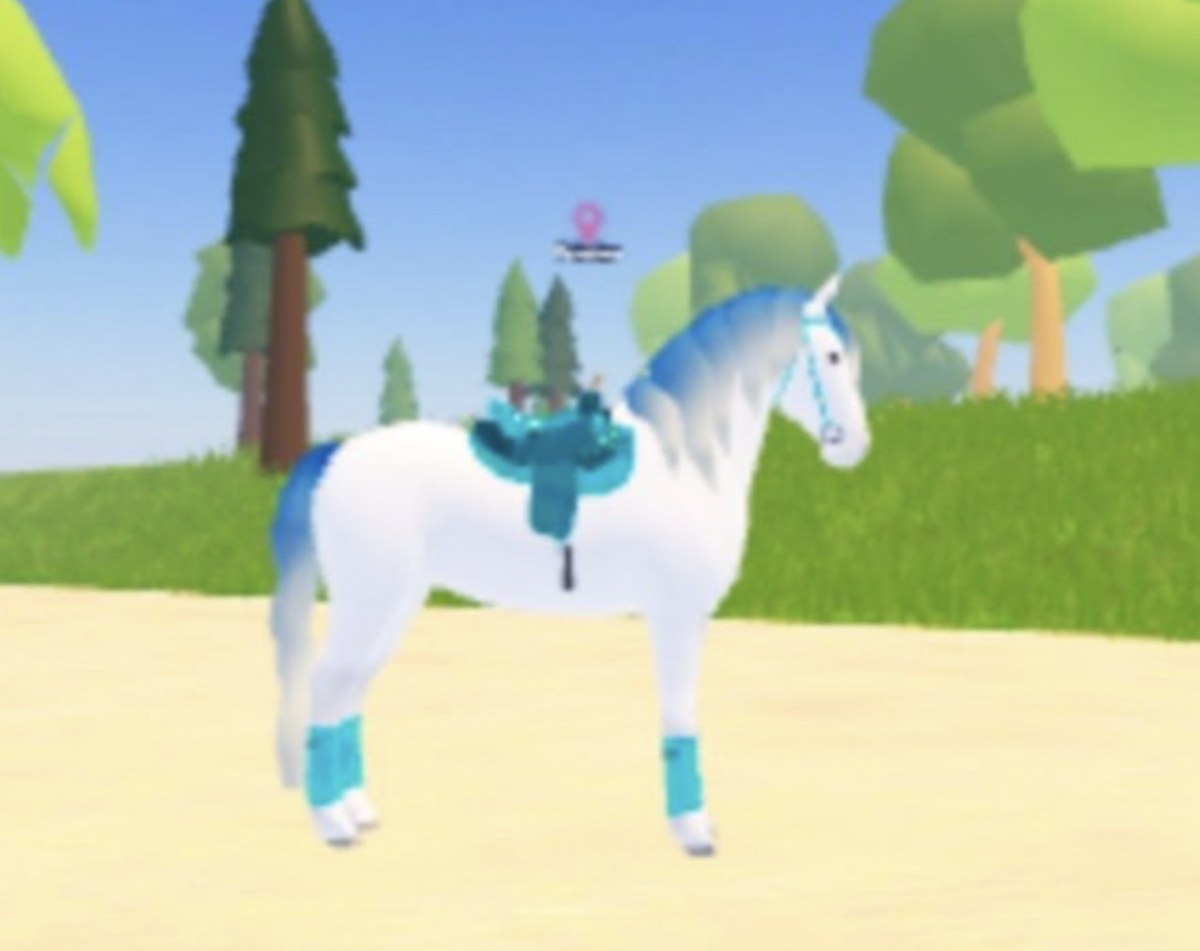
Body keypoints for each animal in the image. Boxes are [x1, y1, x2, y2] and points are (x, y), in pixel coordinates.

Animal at [268, 274, 871, 855]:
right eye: (832, 356)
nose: (854, 446)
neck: (685, 465)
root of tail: (337, 455)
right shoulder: (675, 615)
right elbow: (680, 713)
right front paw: (693, 831)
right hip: (370, 598)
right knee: (329, 681)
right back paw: (333, 824)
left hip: (397, 600)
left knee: (351, 687)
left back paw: (357, 810)